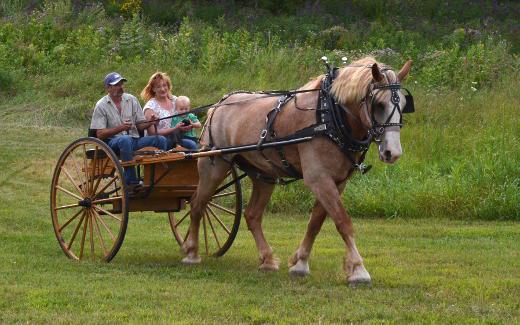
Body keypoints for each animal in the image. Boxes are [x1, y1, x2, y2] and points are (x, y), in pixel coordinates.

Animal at [181, 56, 412, 284]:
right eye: (379, 104)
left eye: (403, 104)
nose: (392, 152)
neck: (328, 116)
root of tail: (218, 105)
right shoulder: (318, 178)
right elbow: (342, 221)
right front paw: (358, 269)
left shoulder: (337, 181)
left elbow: (315, 222)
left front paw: (300, 263)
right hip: (214, 166)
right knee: (198, 204)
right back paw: (191, 252)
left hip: (263, 176)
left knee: (252, 214)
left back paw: (266, 259)